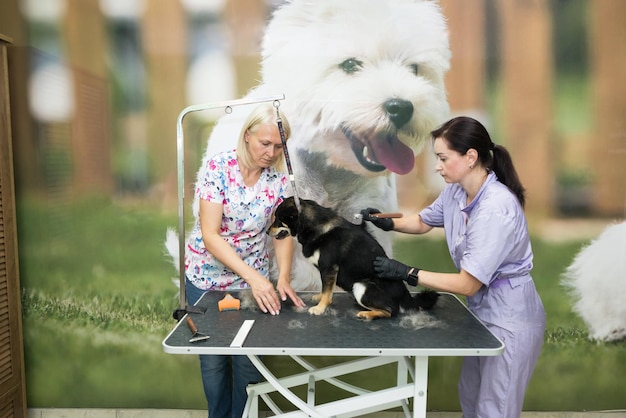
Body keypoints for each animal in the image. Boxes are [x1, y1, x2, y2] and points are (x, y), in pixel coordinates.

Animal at [268, 198, 438, 318]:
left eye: (277, 218)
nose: (266, 232)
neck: (314, 226)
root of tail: (405, 295)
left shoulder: (329, 268)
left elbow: (327, 292)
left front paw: (320, 308)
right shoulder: (326, 272)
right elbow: (325, 289)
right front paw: (319, 298)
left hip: (361, 287)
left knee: (391, 310)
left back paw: (367, 314)